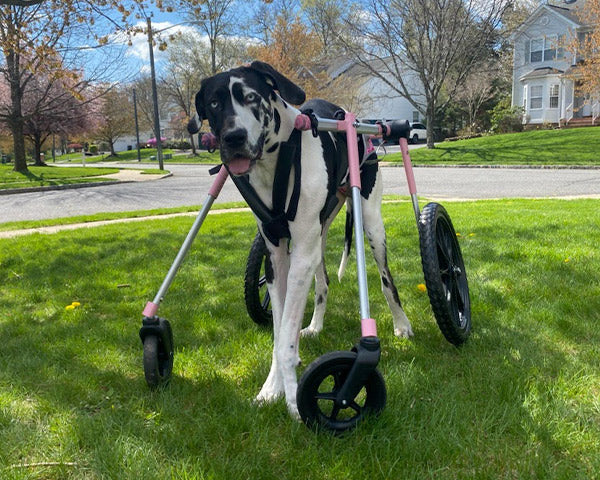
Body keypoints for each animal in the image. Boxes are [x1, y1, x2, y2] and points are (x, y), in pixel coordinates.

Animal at [189, 62, 412, 418]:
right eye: (213, 103)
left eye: (251, 97)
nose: (234, 137)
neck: (275, 161)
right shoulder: (279, 260)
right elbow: (281, 333)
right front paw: (273, 388)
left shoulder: (301, 257)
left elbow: (284, 342)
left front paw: (295, 401)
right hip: (317, 240)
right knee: (322, 285)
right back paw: (316, 326)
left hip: (372, 225)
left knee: (386, 280)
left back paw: (401, 324)